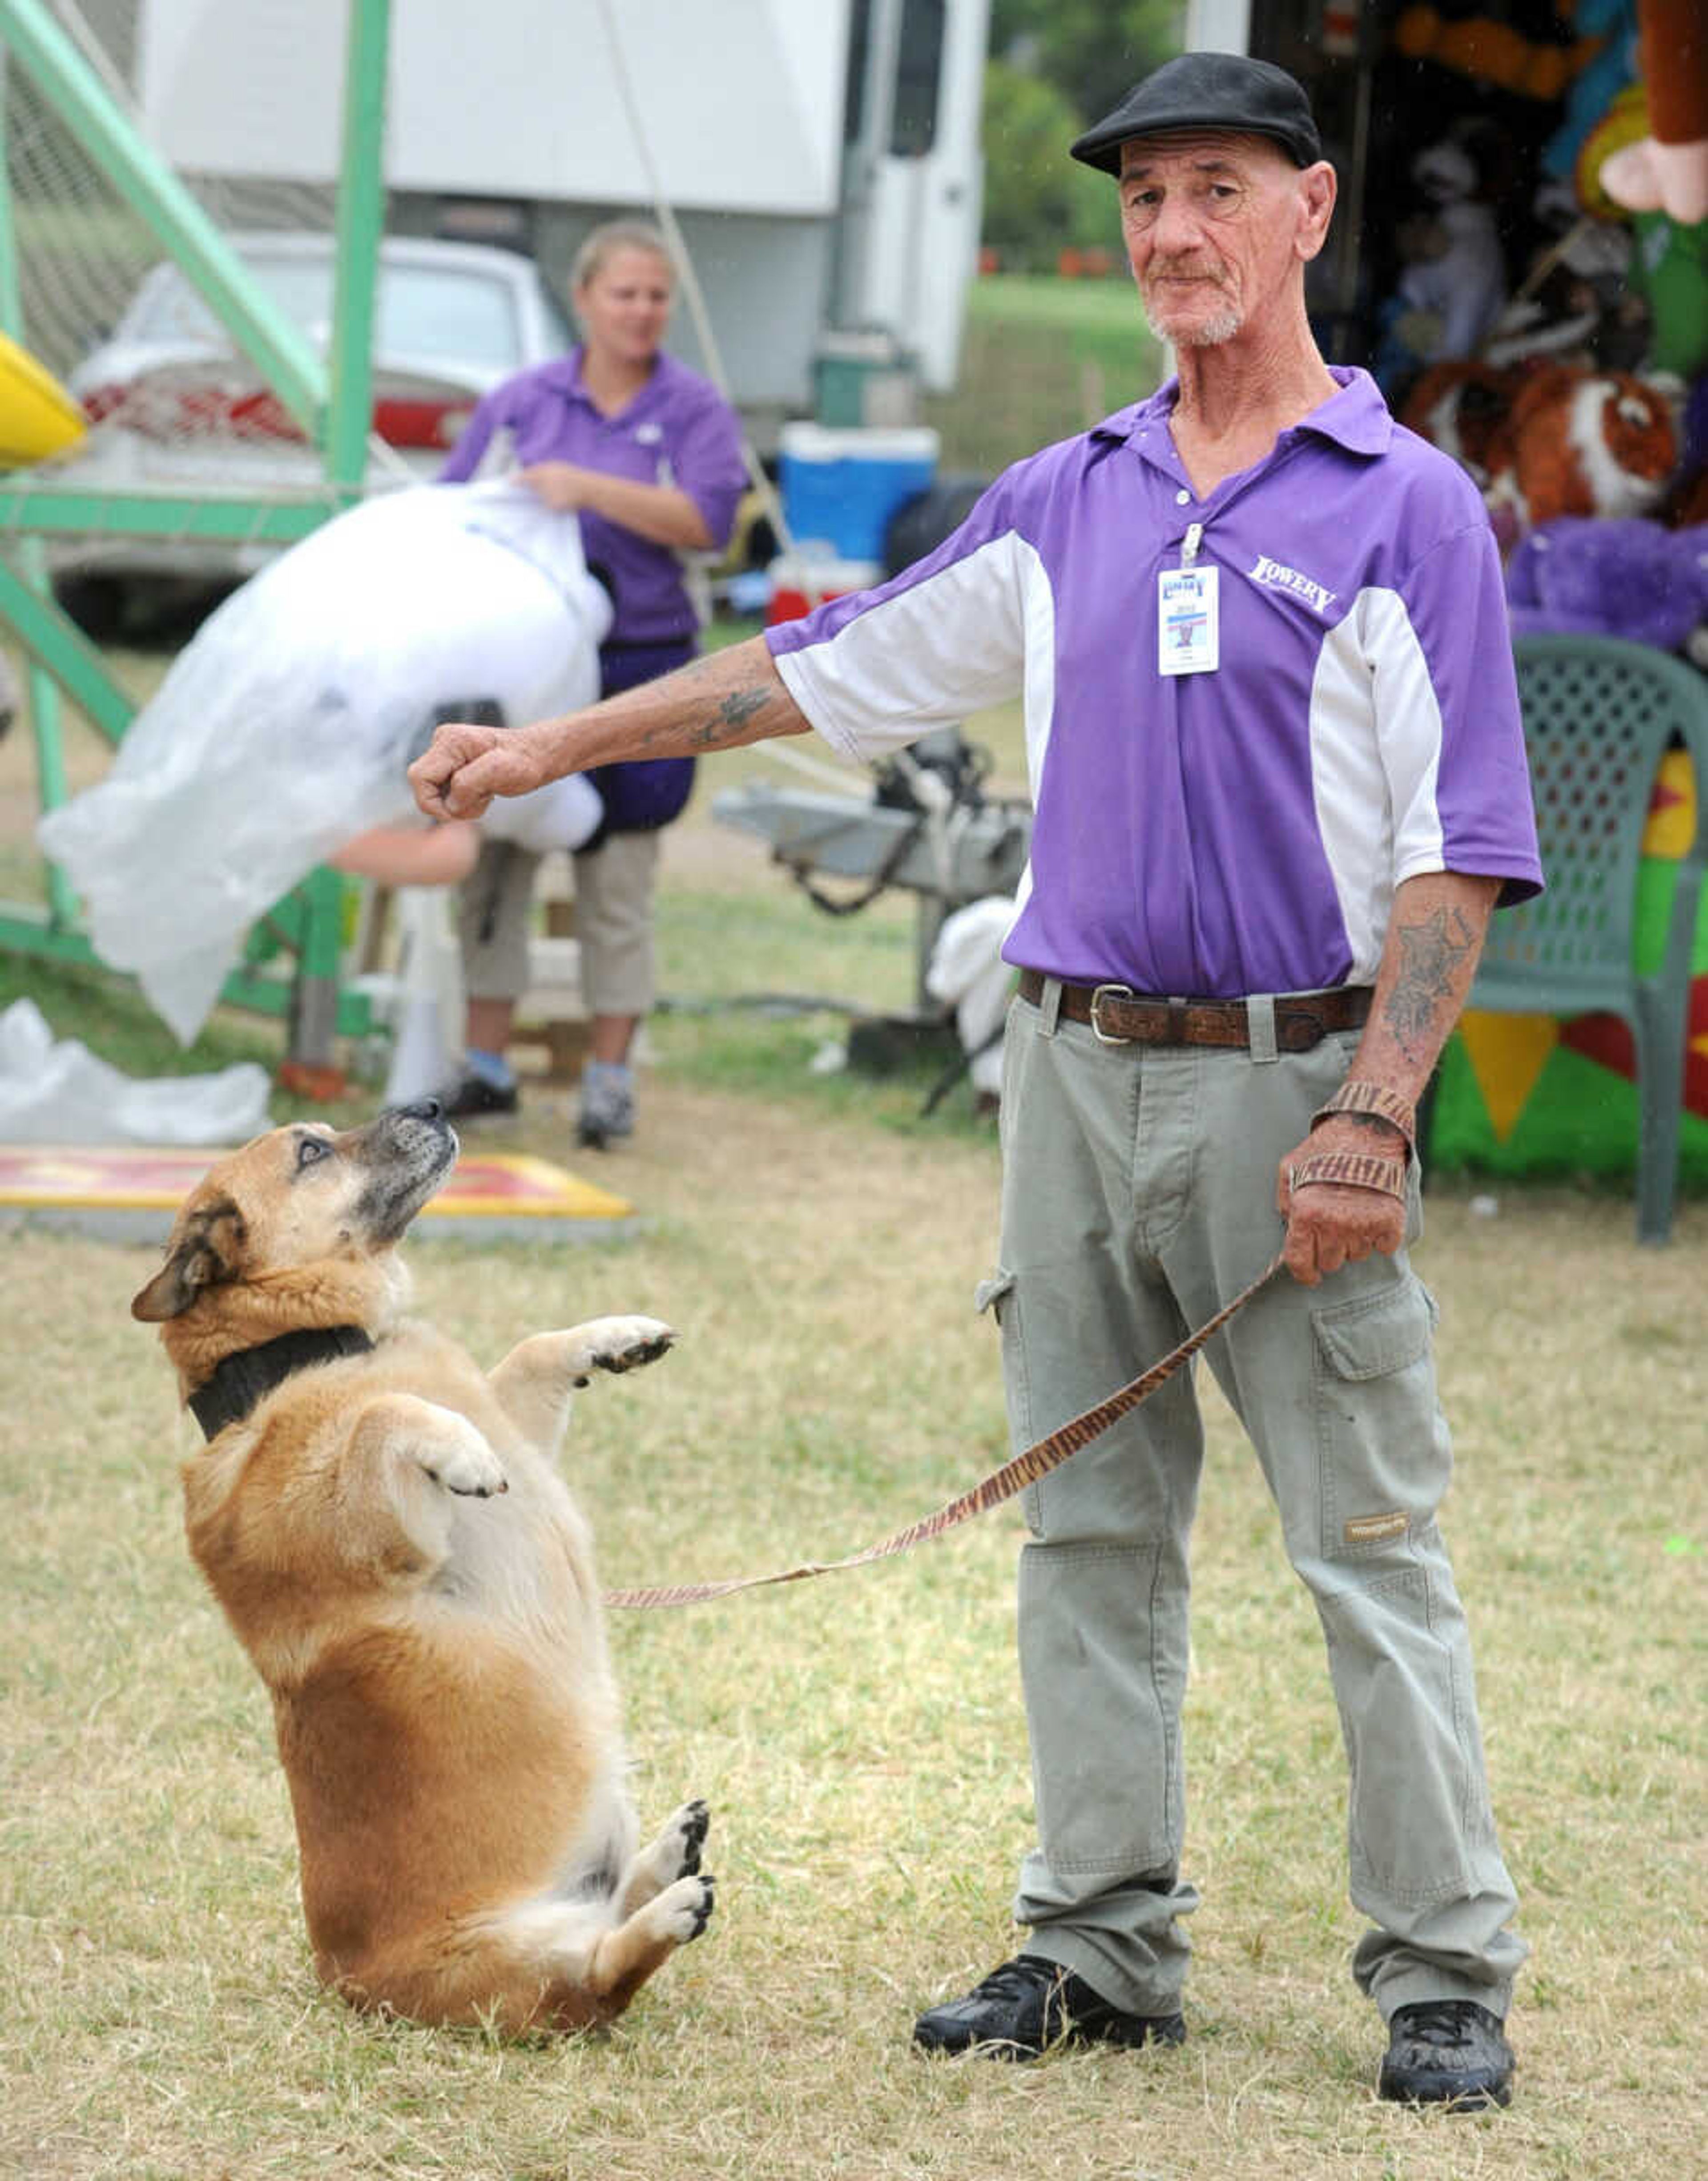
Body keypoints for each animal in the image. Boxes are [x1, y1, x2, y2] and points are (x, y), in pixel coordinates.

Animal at [133, 1099, 715, 2032]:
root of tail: (348, 1982)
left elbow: (528, 1353)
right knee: (598, 1984)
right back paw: (669, 1906)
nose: (434, 1105)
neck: (305, 1349)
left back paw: (666, 1855)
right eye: (312, 1150)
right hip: (514, 1963)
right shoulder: (391, 1531)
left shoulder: (520, 1426)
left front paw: (613, 1338)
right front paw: (461, 1450)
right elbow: (385, 1414)